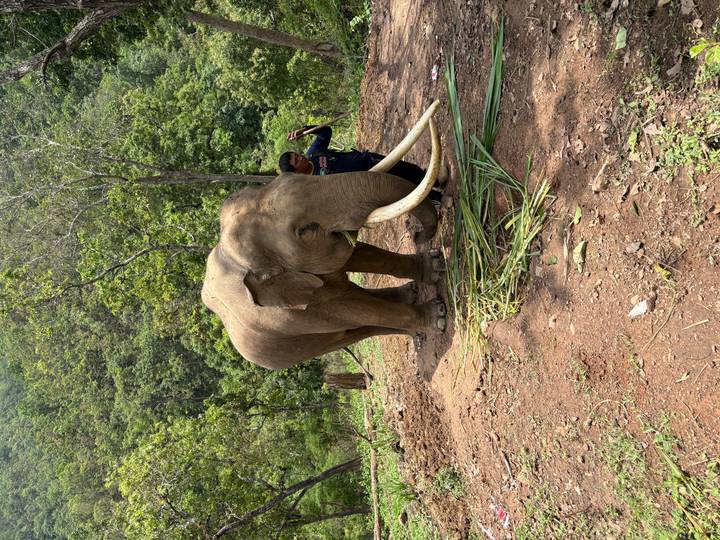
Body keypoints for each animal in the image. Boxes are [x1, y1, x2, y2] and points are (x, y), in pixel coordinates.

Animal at [202, 101, 447, 370]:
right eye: (303, 231)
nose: (421, 236)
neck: (231, 255)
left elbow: (361, 255)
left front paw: (435, 266)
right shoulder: (289, 312)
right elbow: (351, 308)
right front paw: (439, 315)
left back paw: (411, 293)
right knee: (357, 325)